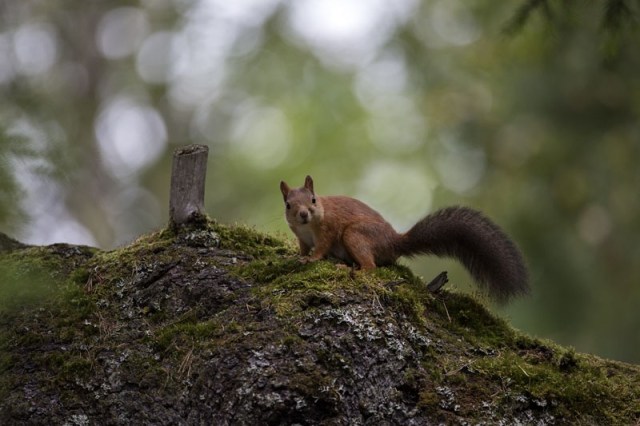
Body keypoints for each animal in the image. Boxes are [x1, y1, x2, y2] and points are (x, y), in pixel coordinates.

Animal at [280, 175, 529, 303]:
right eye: (288, 205)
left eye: (313, 200)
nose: (304, 214)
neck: (308, 227)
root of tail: (393, 242)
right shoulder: (301, 237)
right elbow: (303, 248)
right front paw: (297, 256)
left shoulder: (329, 230)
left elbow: (321, 247)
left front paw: (312, 259)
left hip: (355, 234)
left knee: (371, 266)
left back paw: (351, 269)